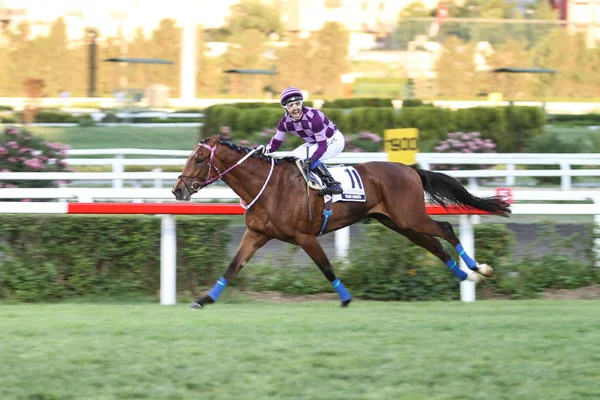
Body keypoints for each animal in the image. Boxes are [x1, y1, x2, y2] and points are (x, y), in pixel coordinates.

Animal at [172, 134, 510, 310]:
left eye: (199, 160)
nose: (178, 190)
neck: (268, 186)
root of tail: (410, 169)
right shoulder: (256, 234)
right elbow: (233, 267)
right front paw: (203, 299)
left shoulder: (304, 236)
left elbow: (326, 267)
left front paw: (346, 299)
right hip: (400, 223)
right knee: (435, 247)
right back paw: (467, 277)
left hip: (410, 217)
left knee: (447, 230)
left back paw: (480, 269)